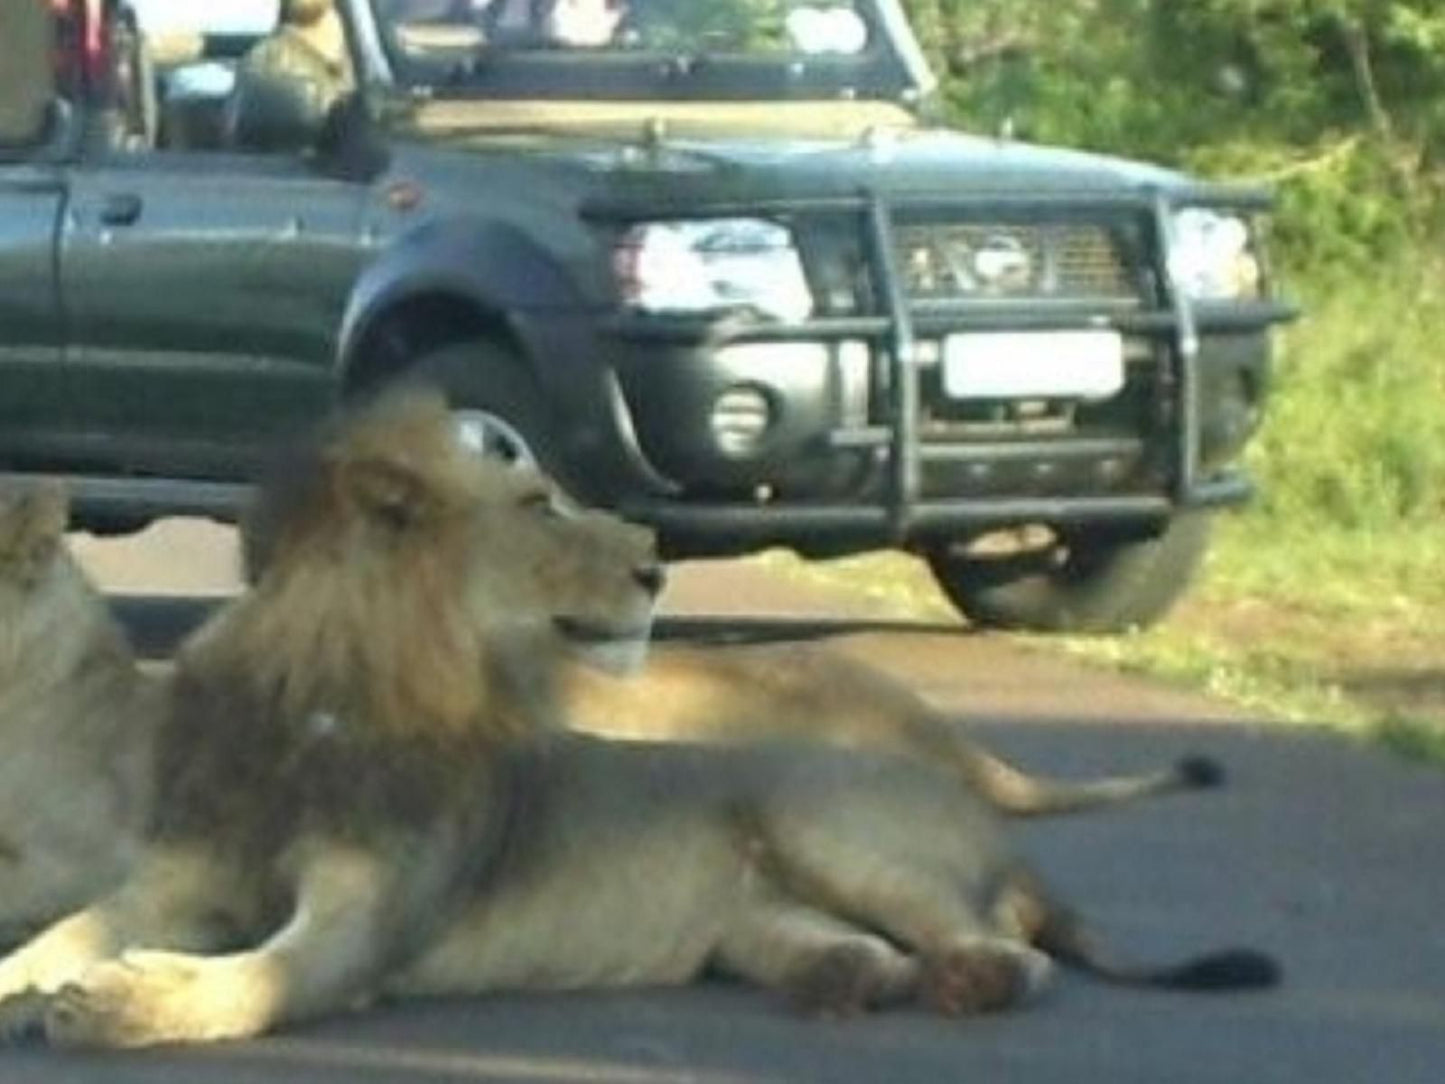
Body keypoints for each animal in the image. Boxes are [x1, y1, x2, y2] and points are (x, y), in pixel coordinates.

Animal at [0, 390, 1277, 1052]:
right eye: (533, 503)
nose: (656, 571)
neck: (343, 685)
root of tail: (987, 815)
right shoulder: (172, 877)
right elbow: (50, 935)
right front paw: (37, 978)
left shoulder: (363, 930)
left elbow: (243, 982)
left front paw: (119, 1000)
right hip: (757, 918)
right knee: (856, 949)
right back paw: (842, 982)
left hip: (827, 823)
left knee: (1015, 951)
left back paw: (966, 981)